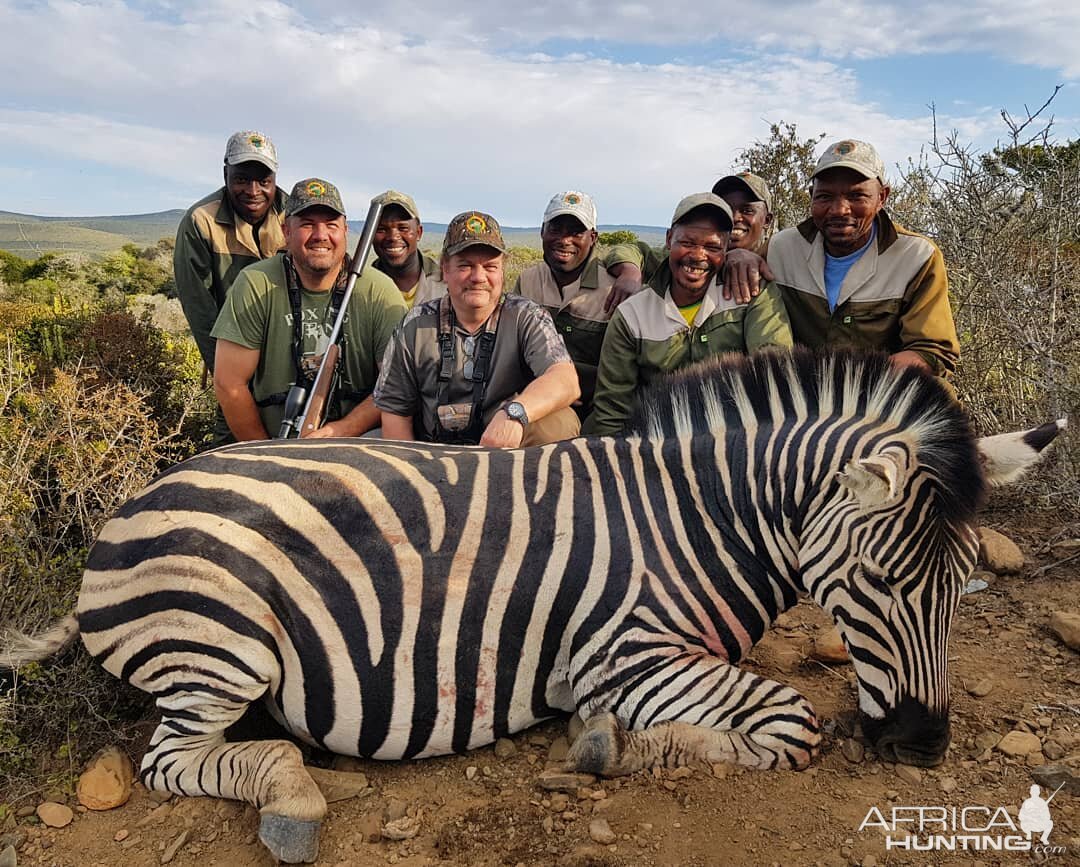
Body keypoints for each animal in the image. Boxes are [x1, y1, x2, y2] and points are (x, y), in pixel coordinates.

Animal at [2, 349, 1062, 863]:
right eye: (883, 583)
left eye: (961, 586)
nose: (923, 746)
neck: (696, 519)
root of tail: (128, 509)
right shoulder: (622, 653)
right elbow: (789, 720)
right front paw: (608, 745)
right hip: (225, 644)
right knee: (172, 761)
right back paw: (291, 794)